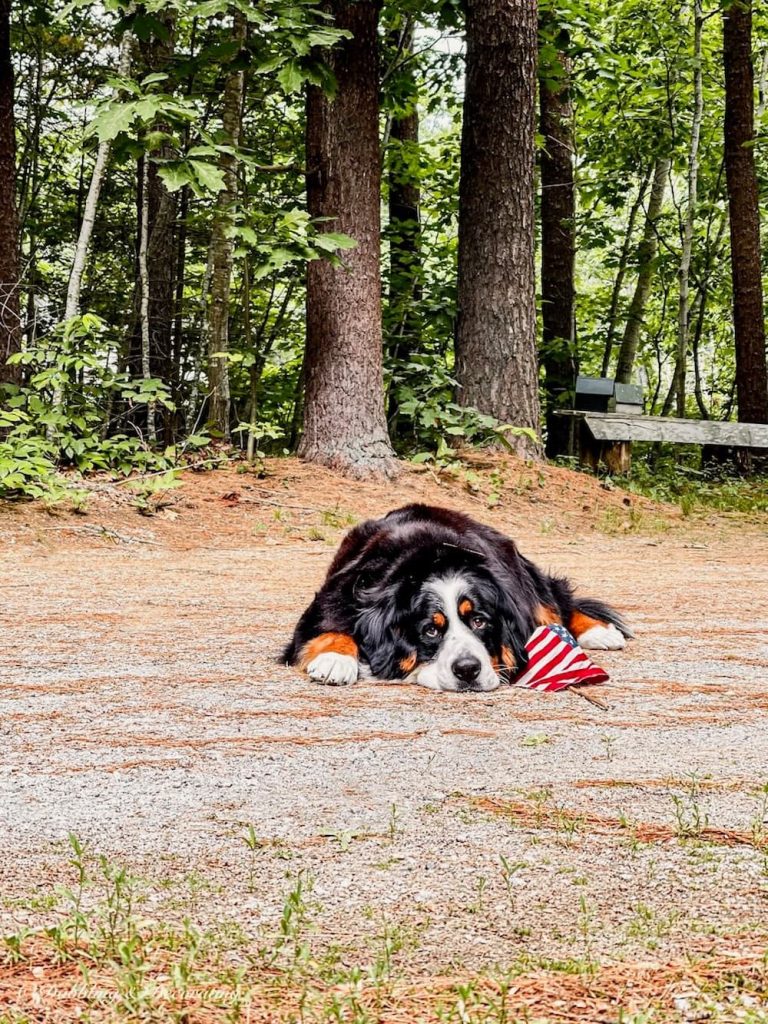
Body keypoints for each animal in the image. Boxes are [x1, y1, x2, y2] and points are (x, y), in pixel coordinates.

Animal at [286, 505, 634, 696]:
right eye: (430, 630)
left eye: (479, 621)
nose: (467, 670)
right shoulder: (337, 593)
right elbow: (329, 626)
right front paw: (335, 660)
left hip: (525, 576)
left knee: (556, 601)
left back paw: (599, 631)